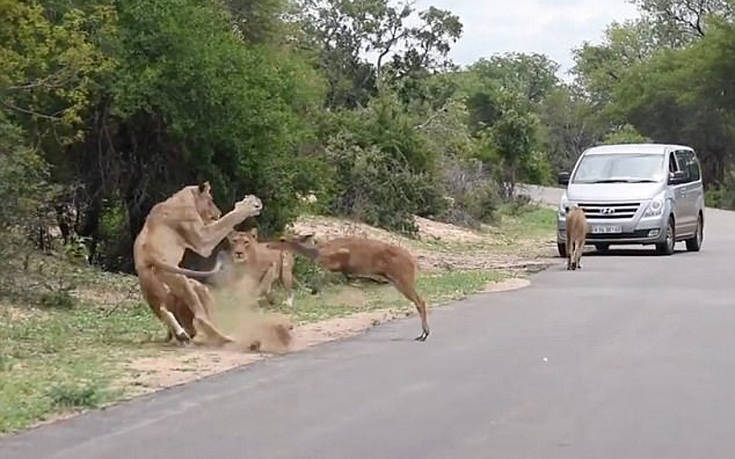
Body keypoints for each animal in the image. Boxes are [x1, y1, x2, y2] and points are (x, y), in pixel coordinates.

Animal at [134, 182, 264, 344]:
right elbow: (227, 220)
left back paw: (182, 335)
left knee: (164, 310)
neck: (184, 197)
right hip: (180, 280)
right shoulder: (203, 240)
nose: (218, 212)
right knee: (200, 316)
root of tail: (149, 257)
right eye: (210, 200)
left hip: (153, 292)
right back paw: (227, 338)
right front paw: (249, 205)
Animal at [268, 237, 432, 342]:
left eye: (280, 241)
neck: (319, 251)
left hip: (403, 279)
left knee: (420, 301)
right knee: (419, 300)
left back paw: (424, 334)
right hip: (397, 280)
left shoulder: (337, 258)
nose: (268, 245)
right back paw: (422, 334)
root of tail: (413, 262)